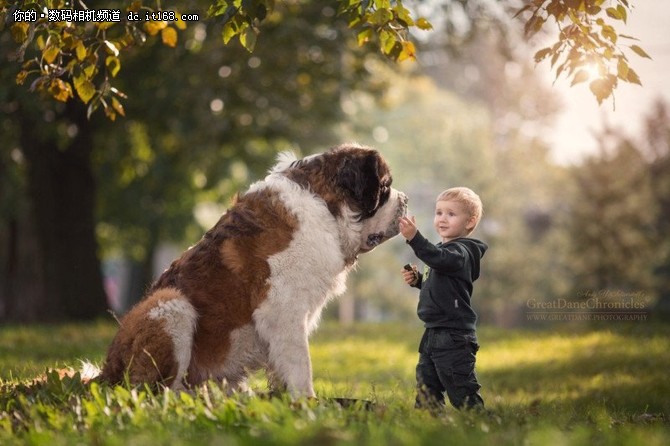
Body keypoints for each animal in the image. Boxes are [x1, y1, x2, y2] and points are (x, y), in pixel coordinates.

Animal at [97, 143, 406, 398]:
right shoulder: (283, 311)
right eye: (385, 188)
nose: (405, 199)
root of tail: (106, 371)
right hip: (171, 304)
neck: (325, 204)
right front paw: (308, 405)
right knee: (156, 391)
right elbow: (300, 364)